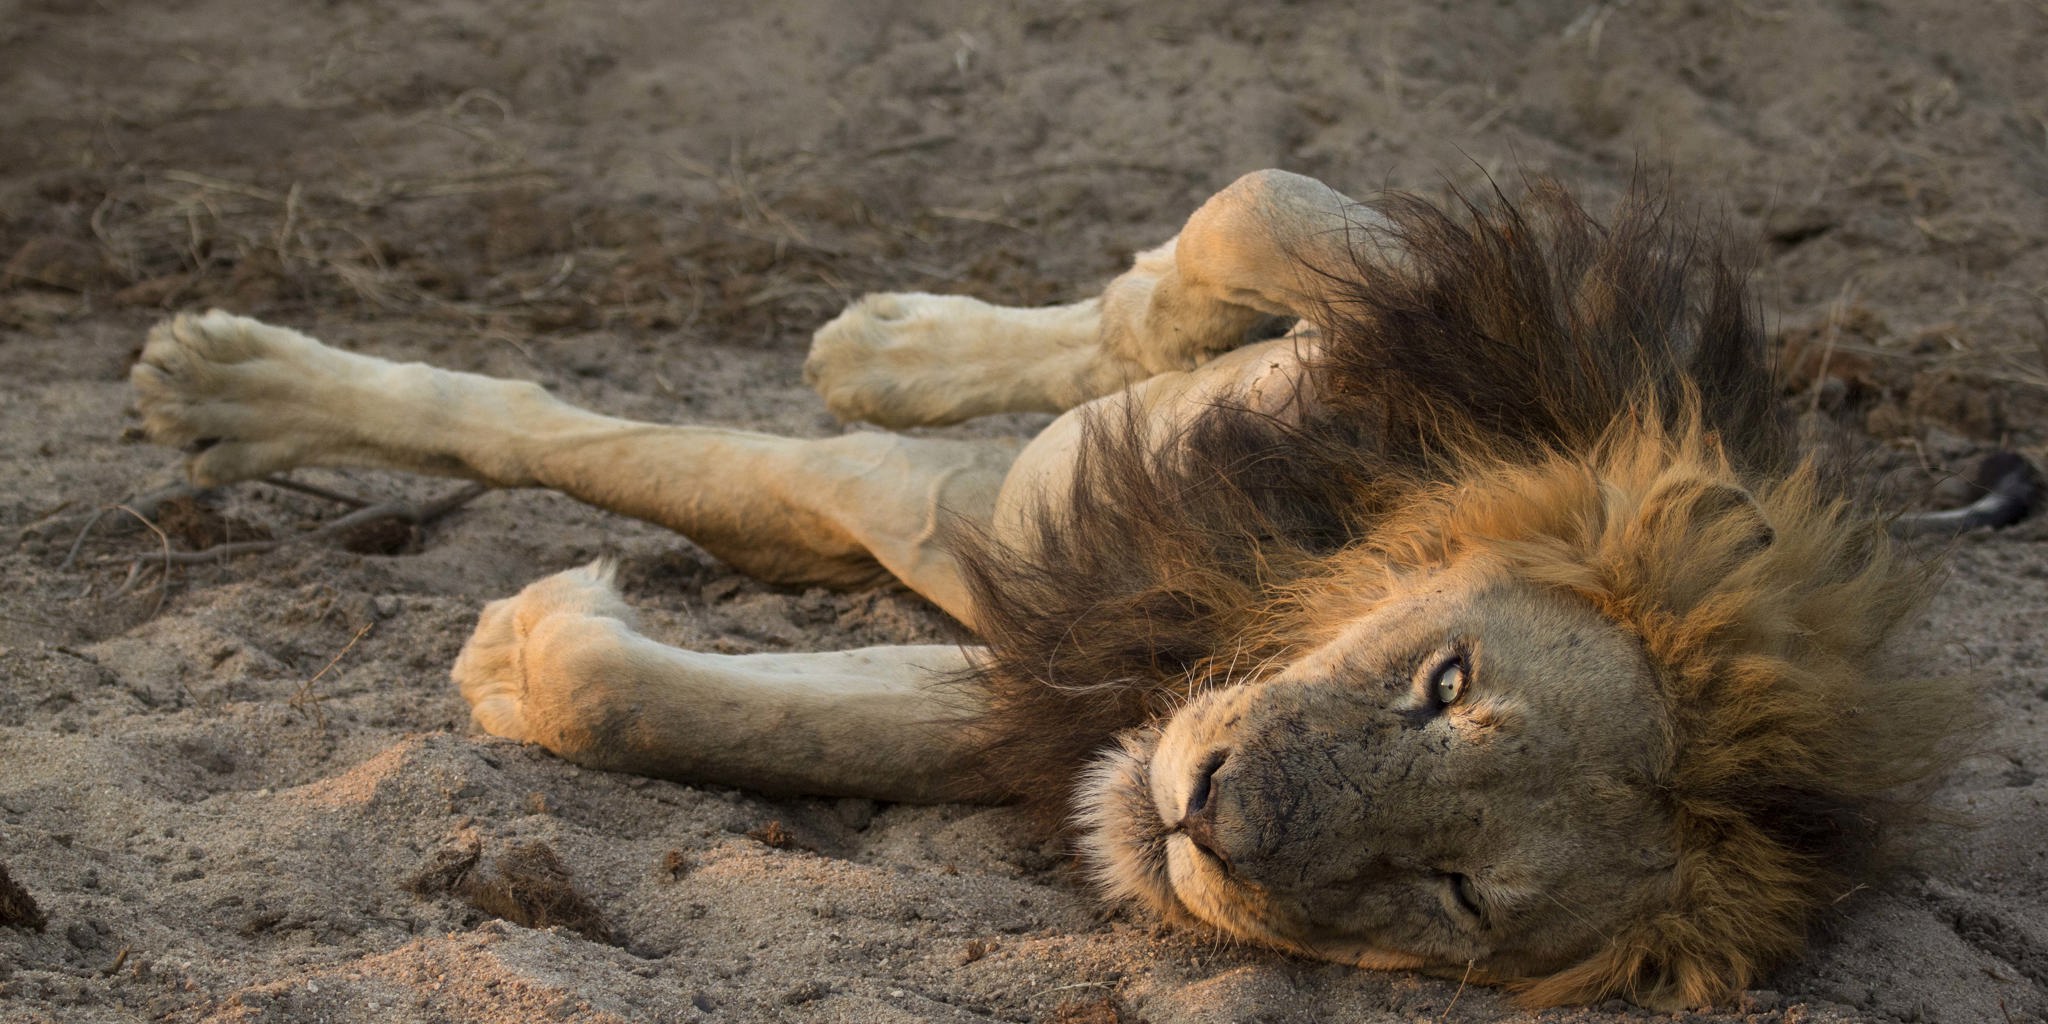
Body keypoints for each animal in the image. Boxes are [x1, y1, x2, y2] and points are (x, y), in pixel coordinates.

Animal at [128, 170, 1967, 1010]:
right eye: (1443, 682)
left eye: (1451, 896)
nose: (1206, 812)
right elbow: (1253, 223)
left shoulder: (1028, 663)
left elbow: (681, 691)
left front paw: (527, 642)